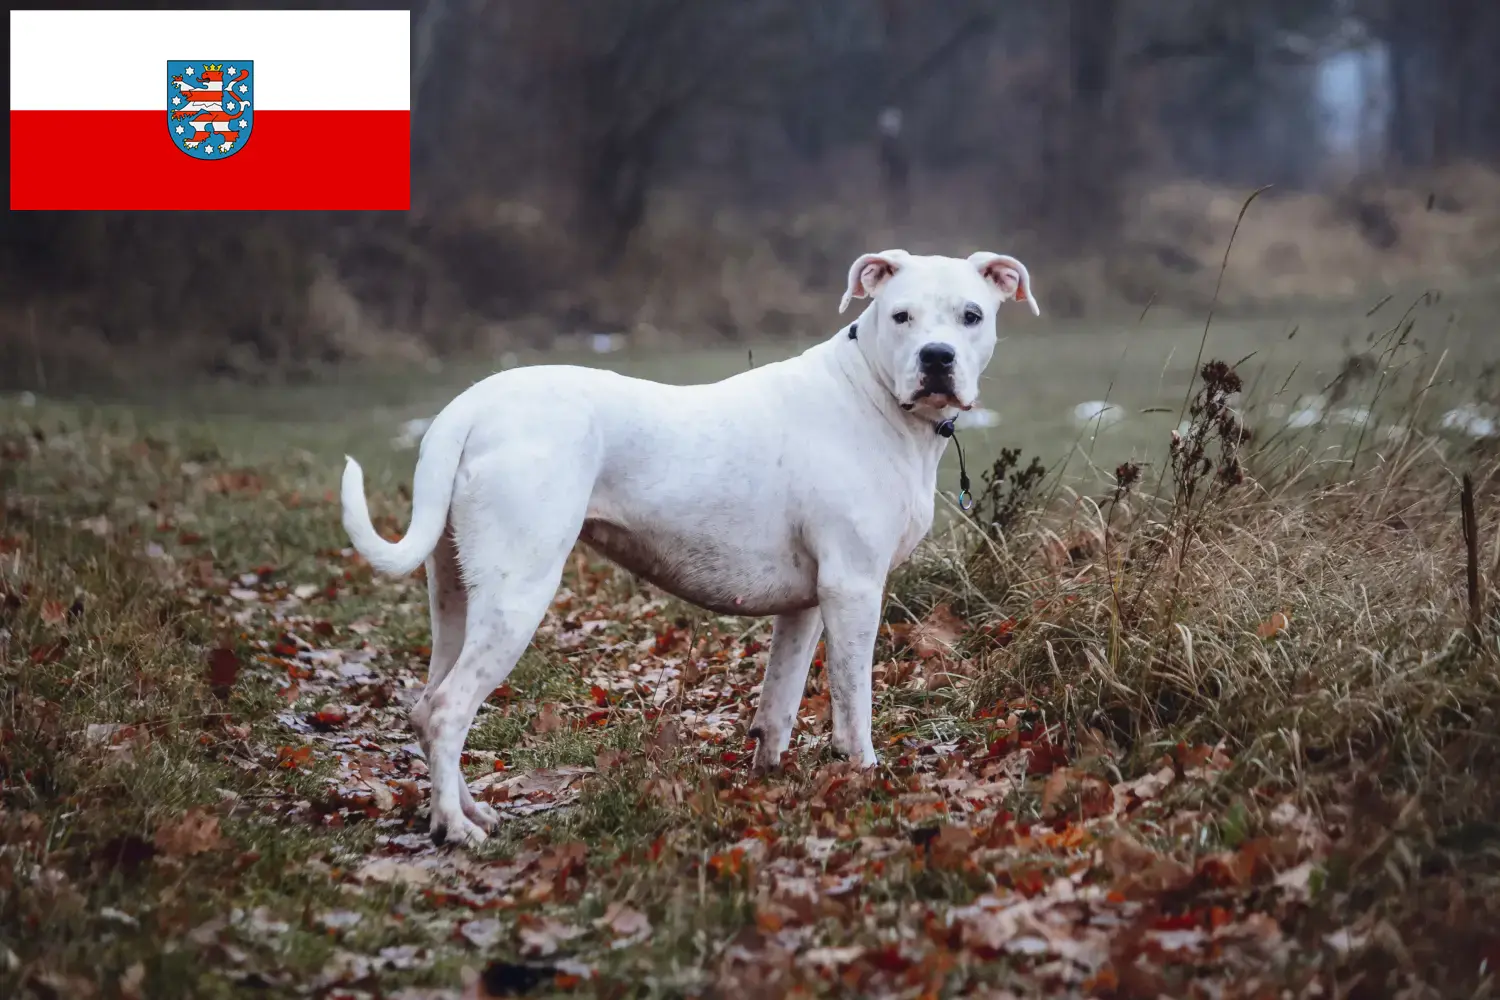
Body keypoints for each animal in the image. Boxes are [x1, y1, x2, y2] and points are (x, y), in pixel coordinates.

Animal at [343, 250, 1038, 845]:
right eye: (901, 316)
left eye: (971, 316)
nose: (937, 357)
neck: (873, 394)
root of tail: (469, 406)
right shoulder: (854, 590)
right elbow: (852, 702)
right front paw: (862, 774)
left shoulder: (808, 605)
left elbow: (780, 702)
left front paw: (771, 779)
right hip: (518, 593)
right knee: (447, 711)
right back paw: (454, 829)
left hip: (456, 596)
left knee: (429, 704)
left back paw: (466, 810)